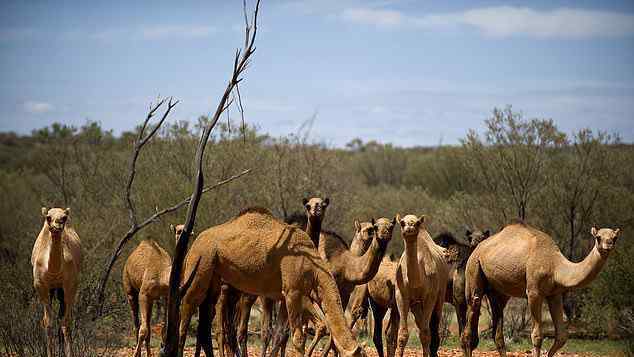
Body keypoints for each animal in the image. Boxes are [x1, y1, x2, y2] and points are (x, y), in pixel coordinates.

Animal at [31, 206, 81, 356]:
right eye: (48, 217)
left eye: (64, 217)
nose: (57, 225)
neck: (53, 270)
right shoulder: (40, 286)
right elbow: (47, 322)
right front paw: (50, 353)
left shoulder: (70, 284)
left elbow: (67, 322)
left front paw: (69, 353)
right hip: (53, 289)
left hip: (61, 290)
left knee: (61, 316)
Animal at [122, 221, 188, 354]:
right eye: (178, 230)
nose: (187, 232)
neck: (163, 275)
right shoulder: (143, 294)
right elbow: (143, 330)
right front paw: (136, 354)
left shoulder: (167, 295)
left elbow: (163, 327)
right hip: (129, 287)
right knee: (137, 323)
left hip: (151, 300)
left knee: (147, 326)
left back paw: (148, 354)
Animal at [178, 207, 366, 356]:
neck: (314, 269)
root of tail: (196, 242)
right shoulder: (293, 291)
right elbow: (297, 338)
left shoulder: (290, 295)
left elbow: (281, 334)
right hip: (201, 265)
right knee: (187, 308)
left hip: (214, 278)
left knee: (206, 325)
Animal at [392, 213, 446, 356]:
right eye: (402, 223)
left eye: (416, 223)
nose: (409, 228)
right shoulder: (401, 296)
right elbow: (402, 334)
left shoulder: (430, 297)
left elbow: (425, 333)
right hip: (416, 304)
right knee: (421, 324)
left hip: (440, 296)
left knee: (432, 326)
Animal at [460, 222, 624, 356]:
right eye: (598, 237)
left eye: (615, 237)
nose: (609, 244)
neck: (555, 266)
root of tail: (477, 249)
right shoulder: (534, 292)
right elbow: (537, 335)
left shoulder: (555, 294)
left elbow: (562, 336)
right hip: (474, 268)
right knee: (471, 315)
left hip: (497, 291)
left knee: (497, 330)